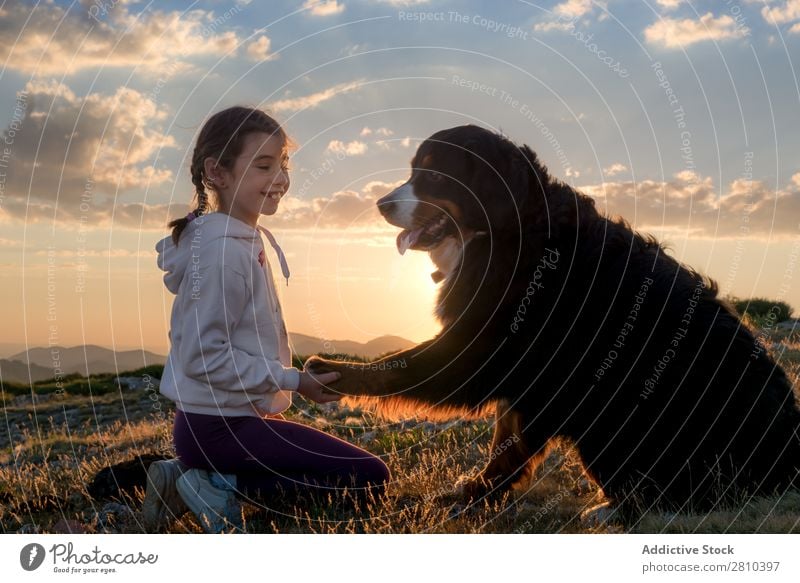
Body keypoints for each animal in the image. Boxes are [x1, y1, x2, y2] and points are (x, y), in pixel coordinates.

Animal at [306, 124, 800, 520]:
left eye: (432, 176)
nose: (380, 203)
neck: (511, 230)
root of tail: (787, 458)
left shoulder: (482, 350)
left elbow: (396, 366)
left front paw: (330, 370)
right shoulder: (520, 374)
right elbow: (505, 440)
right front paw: (478, 492)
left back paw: (615, 509)